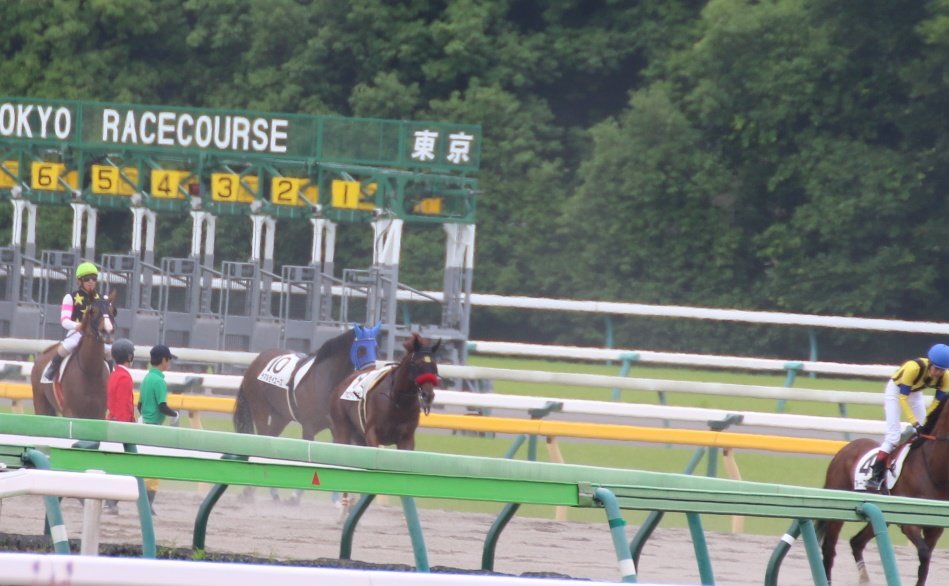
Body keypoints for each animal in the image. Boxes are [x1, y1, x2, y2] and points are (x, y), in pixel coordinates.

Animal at [818, 402, 949, 586]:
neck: (932, 470)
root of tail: (844, 450)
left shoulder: (935, 528)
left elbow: (925, 564)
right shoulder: (909, 523)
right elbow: (924, 553)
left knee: (856, 542)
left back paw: (864, 578)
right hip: (837, 511)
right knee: (829, 549)